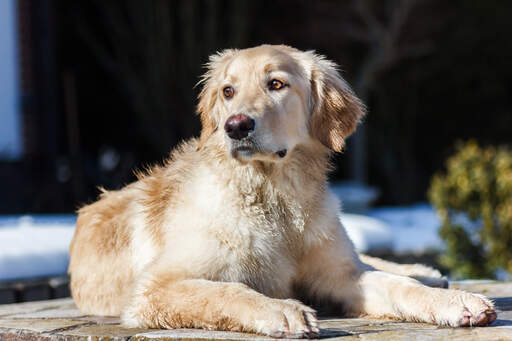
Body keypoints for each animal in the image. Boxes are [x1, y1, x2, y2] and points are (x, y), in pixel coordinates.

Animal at [68, 43, 496, 336]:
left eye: (276, 84)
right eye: (227, 91)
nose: (236, 126)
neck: (273, 195)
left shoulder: (341, 276)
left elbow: (396, 284)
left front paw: (453, 301)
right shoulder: (154, 288)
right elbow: (225, 291)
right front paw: (281, 310)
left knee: (374, 263)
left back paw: (426, 272)